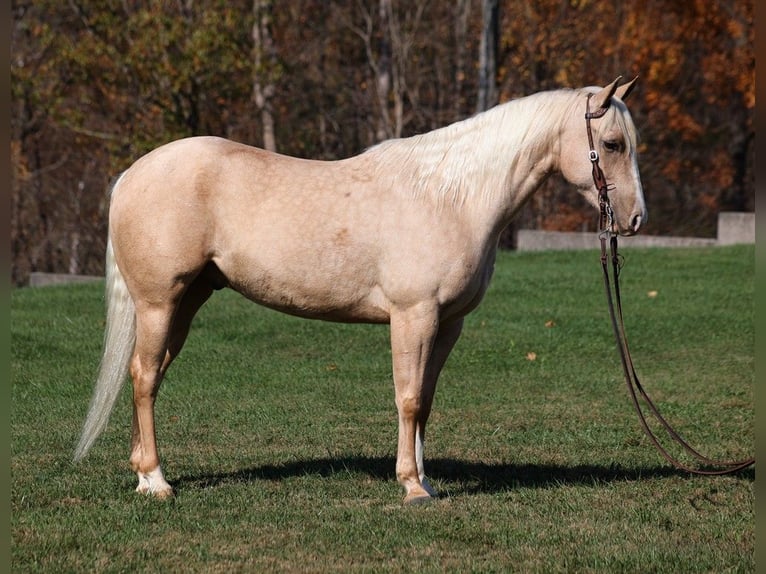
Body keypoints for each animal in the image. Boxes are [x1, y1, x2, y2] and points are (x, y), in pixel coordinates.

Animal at [75, 75, 648, 504]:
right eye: (612, 144)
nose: (635, 219)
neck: (451, 196)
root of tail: (131, 174)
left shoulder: (448, 323)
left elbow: (427, 400)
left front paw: (426, 480)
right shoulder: (414, 315)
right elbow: (408, 397)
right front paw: (411, 486)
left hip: (185, 302)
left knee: (147, 375)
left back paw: (141, 473)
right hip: (158, 302)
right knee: (144, 377)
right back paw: (156, 481)